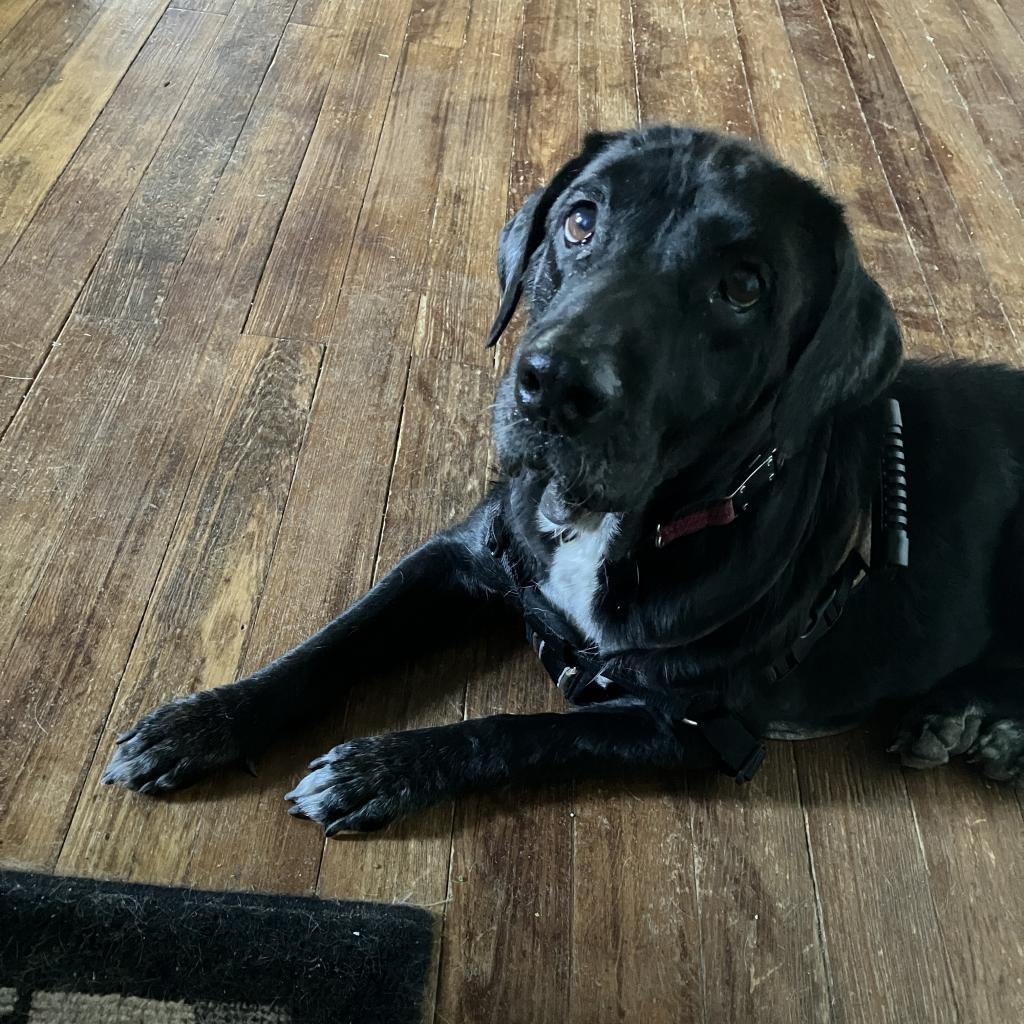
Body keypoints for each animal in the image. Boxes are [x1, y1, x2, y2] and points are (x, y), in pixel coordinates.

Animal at [103, 128, 1024, 831]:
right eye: (580, 221)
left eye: (743, 286)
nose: (554, 386)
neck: (610, 526)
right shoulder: (459, 559)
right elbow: (337, 641)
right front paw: (205, 722)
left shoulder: (692, 727)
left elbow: (518, 732)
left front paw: (379, 771)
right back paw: (965, 724)